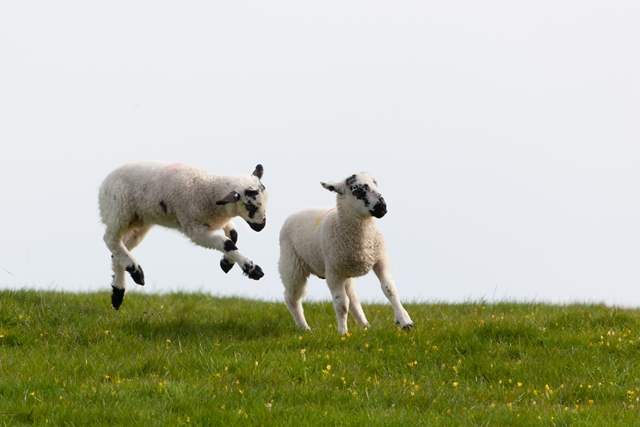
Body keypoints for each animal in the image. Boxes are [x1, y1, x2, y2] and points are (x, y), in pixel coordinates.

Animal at [98, 162, 268, 310]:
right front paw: (252, 269)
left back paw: (118, 292)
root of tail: (103, 185)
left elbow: (233, 235)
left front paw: (226, 263)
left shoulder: (218, 222)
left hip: (139, 221)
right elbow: (227, 243)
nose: (261, 226)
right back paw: (135, 271)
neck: (210, 190)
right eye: (249, 205)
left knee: (119, 247)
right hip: (119, 211)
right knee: (110, 239)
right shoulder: (195, 230)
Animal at [280, 172, 416, 336]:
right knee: (292, 297)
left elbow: (390, 289)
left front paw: (406, 322)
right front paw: (343, 333)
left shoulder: (381, 260)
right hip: (291, 265)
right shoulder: (334, 273)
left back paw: (365, 325)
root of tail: (297, 212)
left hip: (345, 271)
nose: (382, 207)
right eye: (356, 191)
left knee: (353, 299)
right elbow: (341, 303)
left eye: (375, 183)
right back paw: (304, 328)